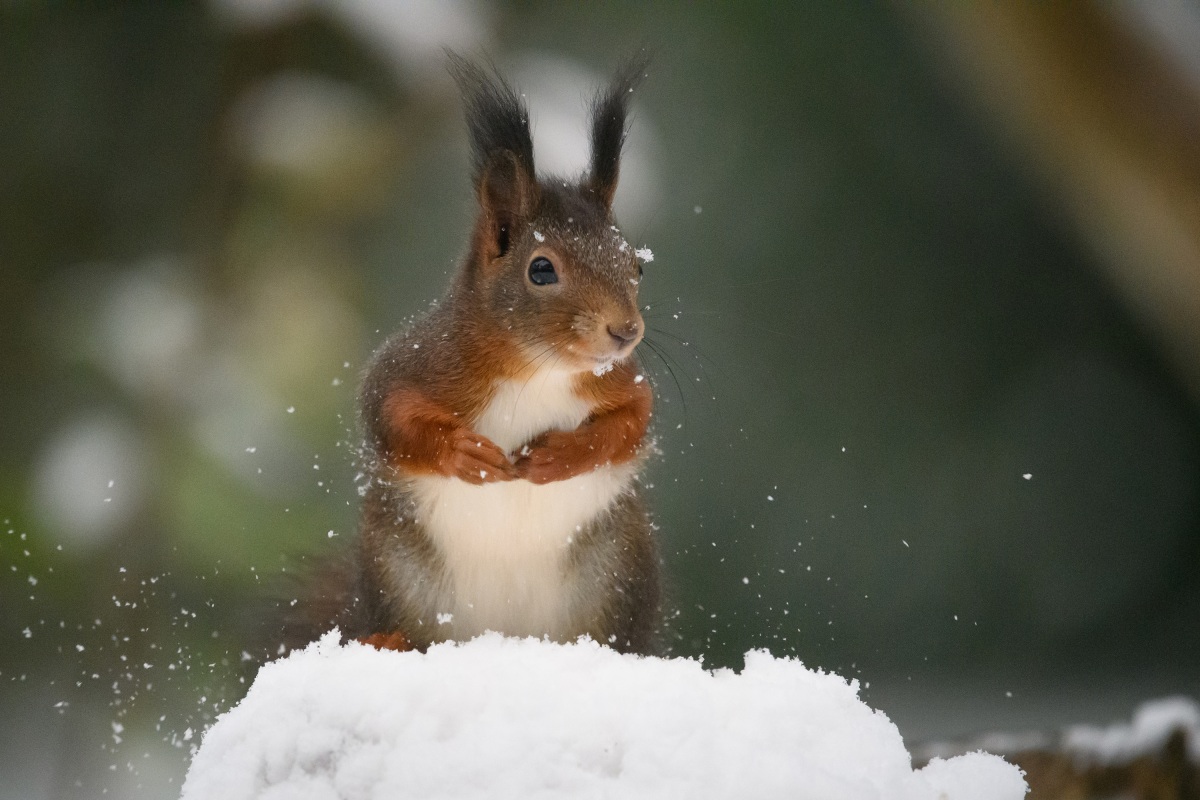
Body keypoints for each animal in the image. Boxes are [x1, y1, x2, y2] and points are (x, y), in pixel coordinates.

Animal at [284, 54, 661, 656]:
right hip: (399, 577)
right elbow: (387, 415)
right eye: (541, 270)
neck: (539, 369)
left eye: (637, 265)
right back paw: (387, 639)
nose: (625, 331)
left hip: (615, 574)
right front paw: (465, 455)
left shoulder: (619, 382)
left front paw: (560, 456)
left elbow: (631, 423)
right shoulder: (417, 364)